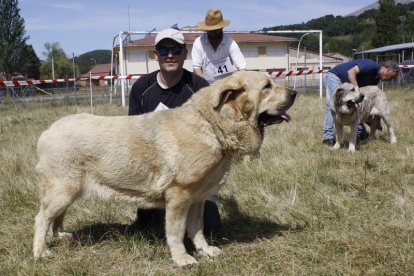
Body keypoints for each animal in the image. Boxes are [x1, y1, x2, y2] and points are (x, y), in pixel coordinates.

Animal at [34, 70, 296, 266]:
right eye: (267, 86)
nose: (294, 93)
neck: (211, 125)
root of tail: (48, 131)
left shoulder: (197, 198)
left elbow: (197, 228)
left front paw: (205, 250)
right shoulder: (179, 195)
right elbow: (177, 231)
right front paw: (182, 259)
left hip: (69, 191)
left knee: (57, 216)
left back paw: (61, 236)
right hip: (62, 190)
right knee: (42, 218)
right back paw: (41, 252)